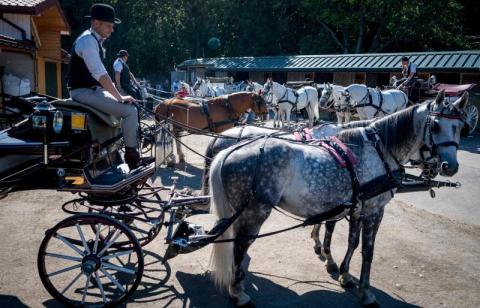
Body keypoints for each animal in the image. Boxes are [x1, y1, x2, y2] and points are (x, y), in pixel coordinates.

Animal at [208, 90, 466, 306]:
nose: (450, 167)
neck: (379, 150)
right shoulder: (374, 211)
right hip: (255, 213)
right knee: (239, 246)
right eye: (435, 125)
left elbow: (352, 241)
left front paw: (344, 274)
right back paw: (238, 292)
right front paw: (365, 291)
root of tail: (229, 151)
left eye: (460, 127)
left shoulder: (356, 207)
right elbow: (368, 251)